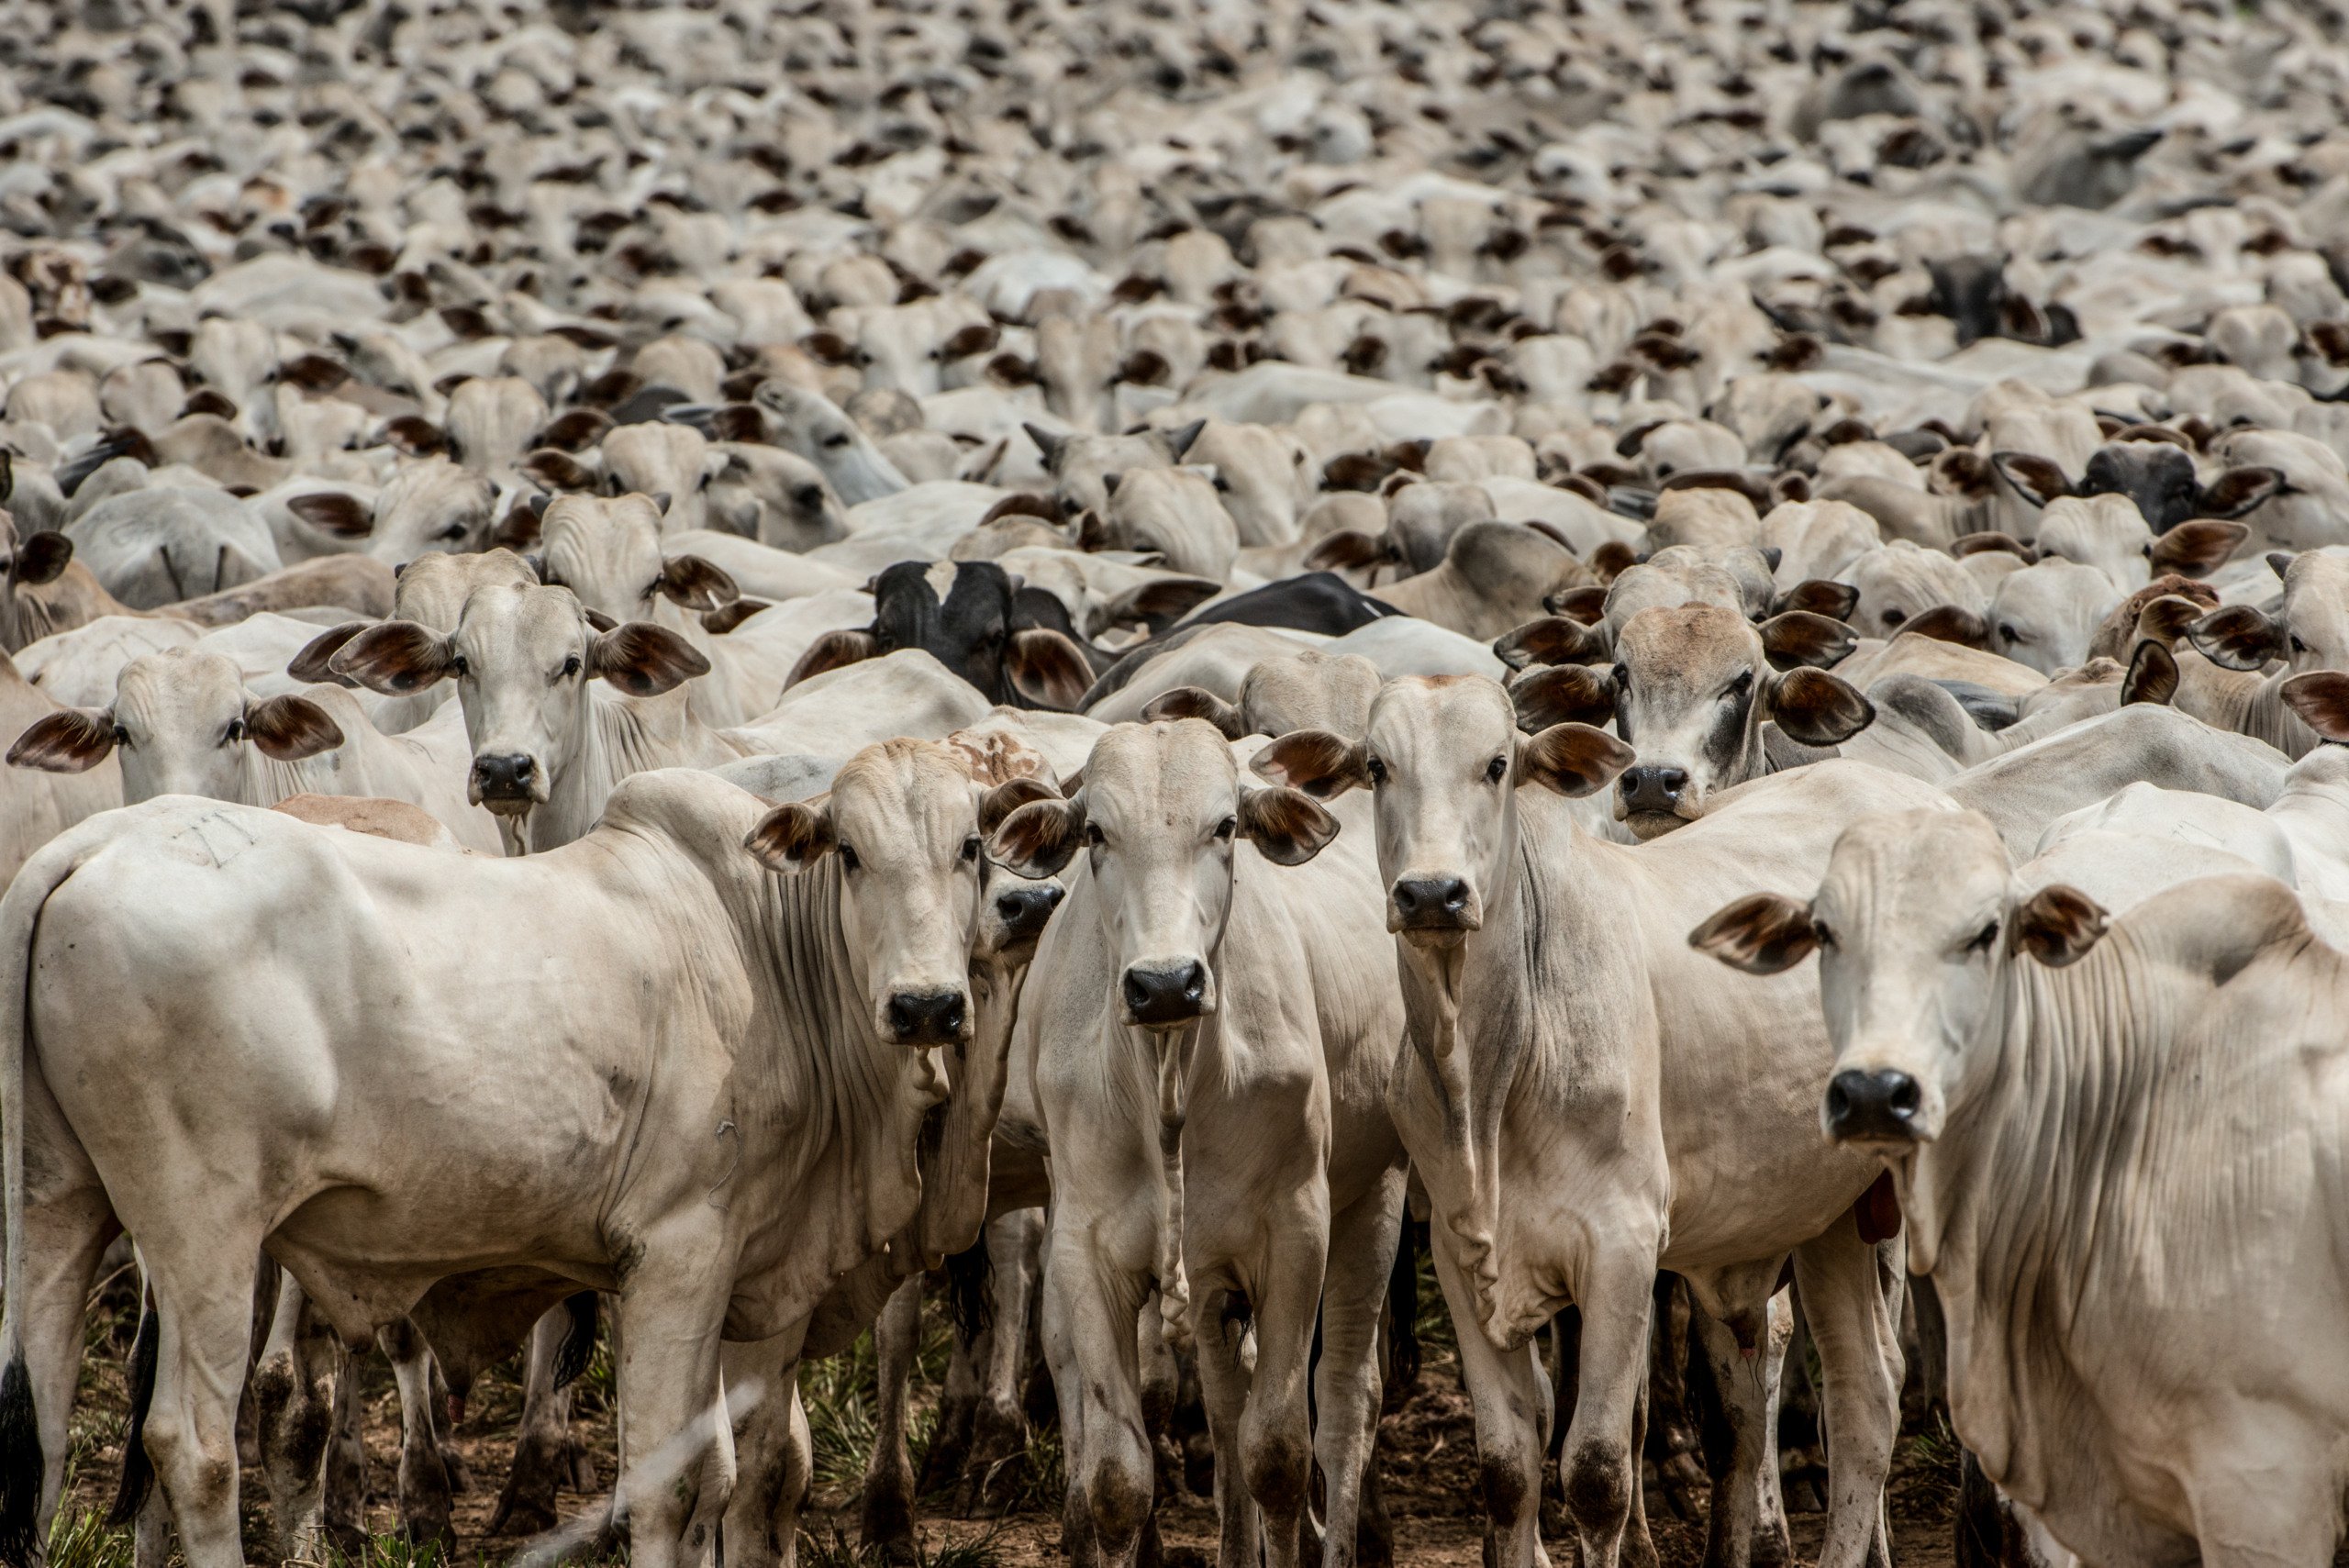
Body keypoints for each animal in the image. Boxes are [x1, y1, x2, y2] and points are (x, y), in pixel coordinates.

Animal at [1259, 690, 1935, 1568]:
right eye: (1376, 766)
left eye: (1498, 764)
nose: (1433, 894)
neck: (1491, 1069)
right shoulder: (1460, 1257)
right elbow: (1508, 1471)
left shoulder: (1622, 1252)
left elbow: (1597, 1475)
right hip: (1830, 1217)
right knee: (1865, 1400)